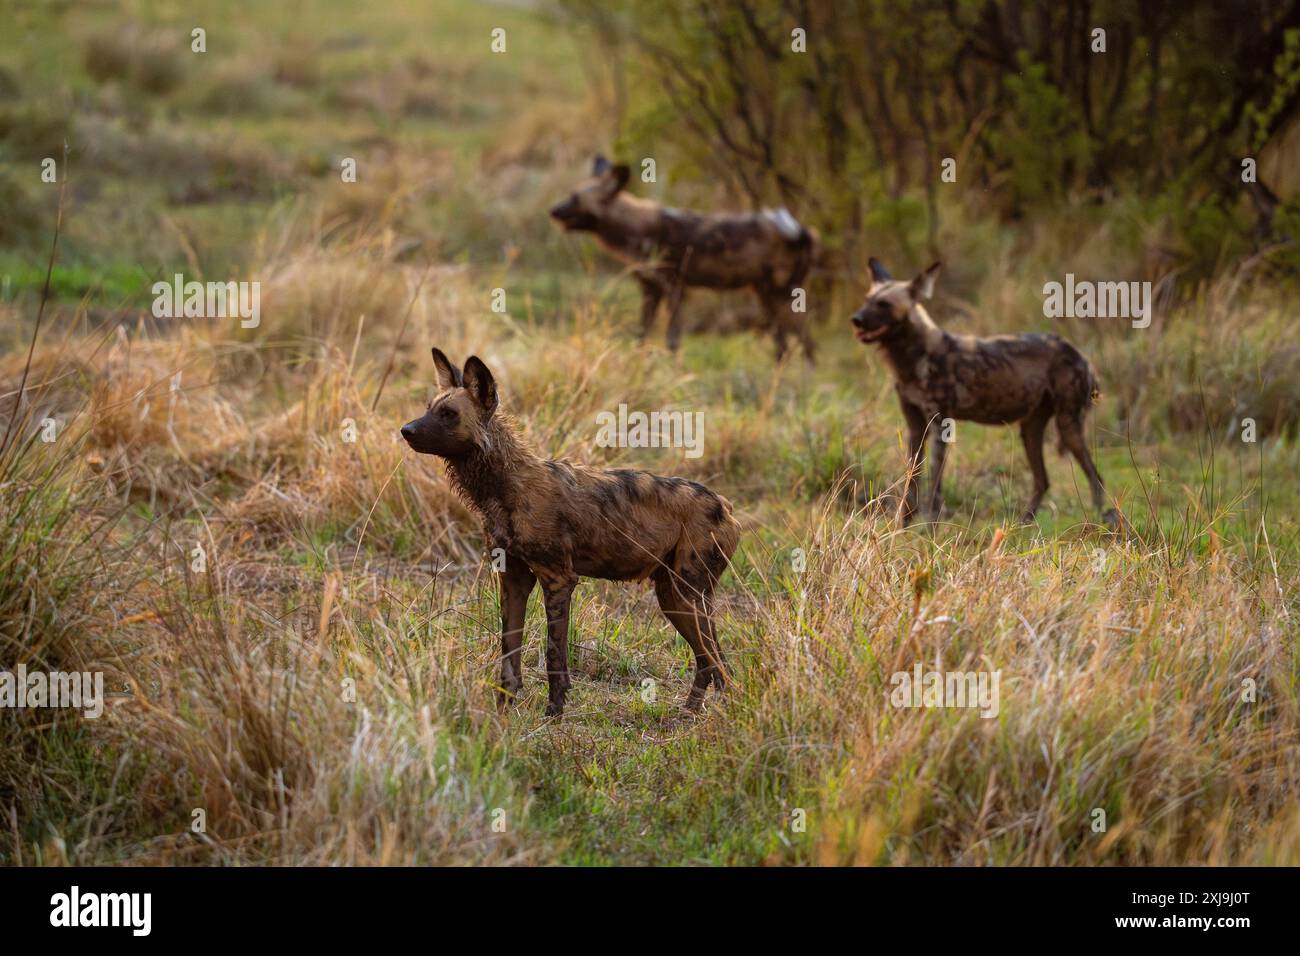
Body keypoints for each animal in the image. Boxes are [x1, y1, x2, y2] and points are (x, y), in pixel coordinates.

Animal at [400, 348, 738, 717]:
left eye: (448, 414)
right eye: (428, 407)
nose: (406, 430)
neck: (506, 486)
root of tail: (725, 506)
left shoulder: (558, 580)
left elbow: (554, 655)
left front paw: (554, 712)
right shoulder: (513, 579)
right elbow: (508, 653)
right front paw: (504, 710)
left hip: (687, 595)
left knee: (718, 664)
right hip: (674, 598)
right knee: (711, 661)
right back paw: (692, 713)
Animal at [551, 155, 816, 364]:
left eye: (574, 198)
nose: (552, 210)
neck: (635, 227)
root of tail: (802, 230)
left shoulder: (675, 289)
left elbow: (672, 340)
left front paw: (672, 371)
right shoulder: (651, 290)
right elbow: (642, 335)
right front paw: (639, 365)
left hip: (783, 296)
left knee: (807, 343)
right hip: (765, 295)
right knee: (784, 347)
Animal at [852, 257, 1118, 528]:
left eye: (884, 304)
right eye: (867, 299)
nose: (856, 319)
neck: (912, 359)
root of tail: (1079, 353)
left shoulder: (940, 426)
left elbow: (934, 486)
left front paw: (930, 528)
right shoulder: (915, 429)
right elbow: (911, 483)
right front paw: (902, 527)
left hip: (1068, 425)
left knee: (1095, 478)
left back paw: (1095, 523)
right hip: (1031, 430)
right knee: (1043, 480)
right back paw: (1023, 525)